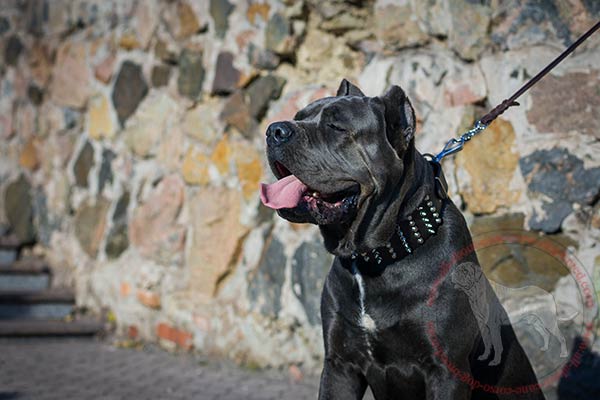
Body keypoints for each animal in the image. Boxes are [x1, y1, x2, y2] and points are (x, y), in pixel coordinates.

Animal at [260, 79, 548, 398]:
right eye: (298, 116)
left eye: (336, 126)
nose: (274, 130)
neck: (379, 254)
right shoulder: (340, 365)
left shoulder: (446, 371)